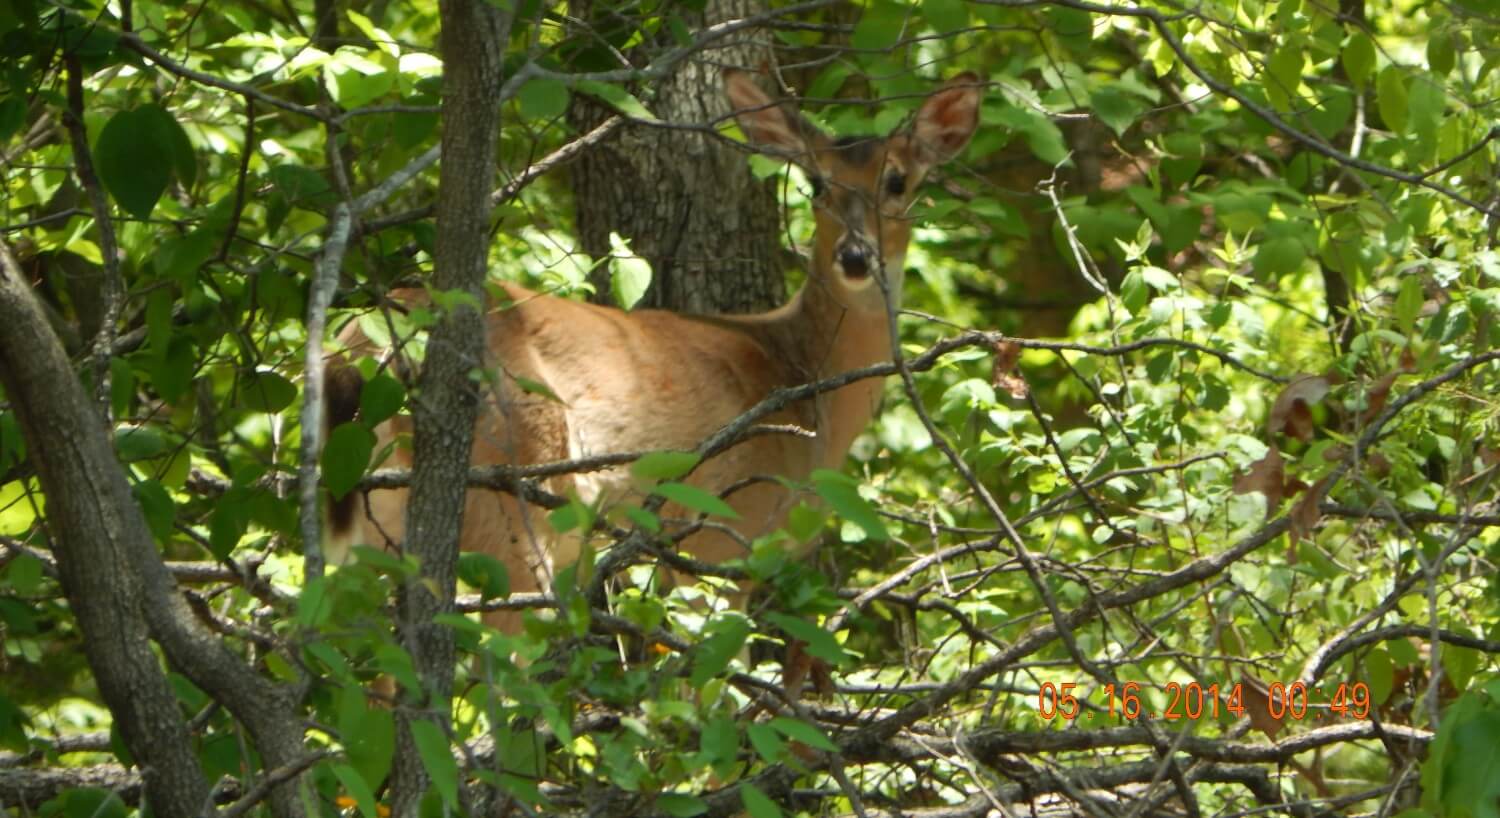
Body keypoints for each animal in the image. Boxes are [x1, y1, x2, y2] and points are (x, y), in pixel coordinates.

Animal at [325, 68, 984, 630]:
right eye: (816, 183)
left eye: (898, 180)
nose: (854, 257)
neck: (803, 376)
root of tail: (363, 344)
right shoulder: (727, 531)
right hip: (516, 495)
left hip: (378, 525)